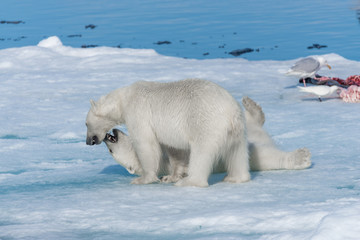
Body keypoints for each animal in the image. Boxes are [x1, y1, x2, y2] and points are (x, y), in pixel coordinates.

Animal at [86, 79, 250, 188]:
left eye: (86, 124)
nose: (89, 141)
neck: (123, 99)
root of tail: (230, 112)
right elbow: (175, 149)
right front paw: (170, 177)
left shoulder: (137, 112)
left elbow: (145, 144)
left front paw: (143, 179)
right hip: (238, 129)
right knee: (237, 152)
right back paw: (236, 178)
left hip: (206, 123)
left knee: (201, 153)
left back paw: (189, 181)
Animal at [102, 96, 310, 183]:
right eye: (111, 151)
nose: (108, 136)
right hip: (253, 150)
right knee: (263, 155)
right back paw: (301, 157)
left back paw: (251, 106)